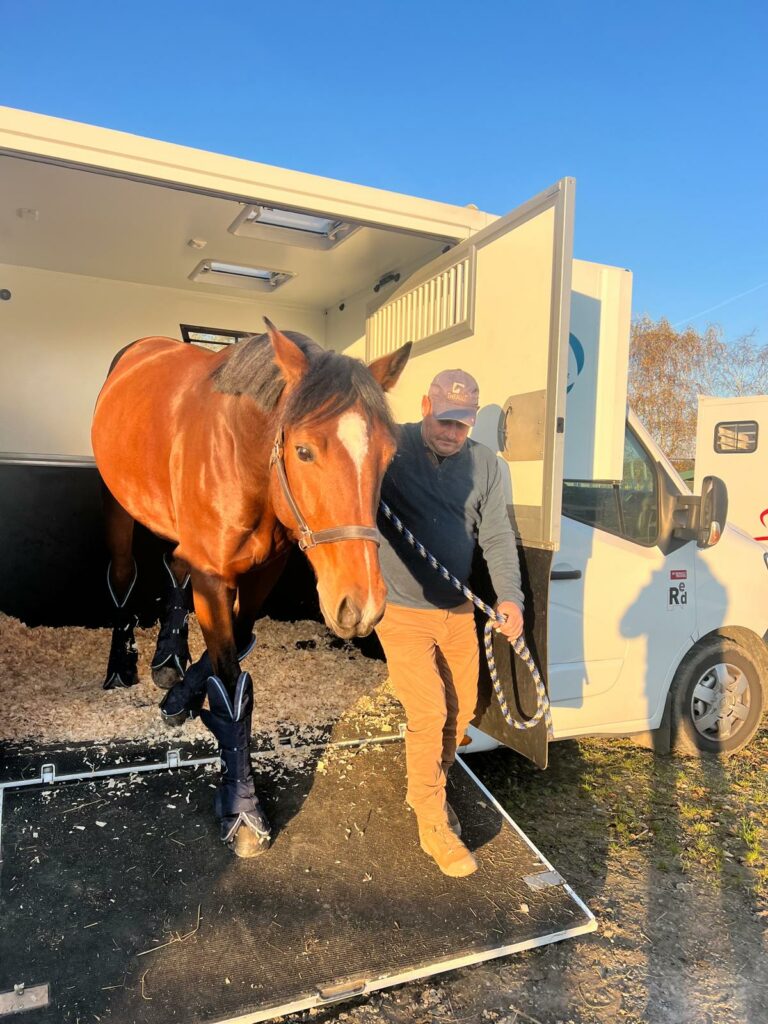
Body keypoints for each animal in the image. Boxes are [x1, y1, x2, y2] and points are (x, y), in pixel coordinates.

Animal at [92, 321, 411, 856]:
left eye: (388, 455)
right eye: (303, 450)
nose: (361, 606)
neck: (241, 455)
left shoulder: (264, 570)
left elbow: (235, 642)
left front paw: (181, 696)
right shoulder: (214, 574)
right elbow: (230, 681)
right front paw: (242, 809)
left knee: (174, 565)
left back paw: (168, 659)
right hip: (116, 505)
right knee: (122, 576)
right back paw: (121, 667)